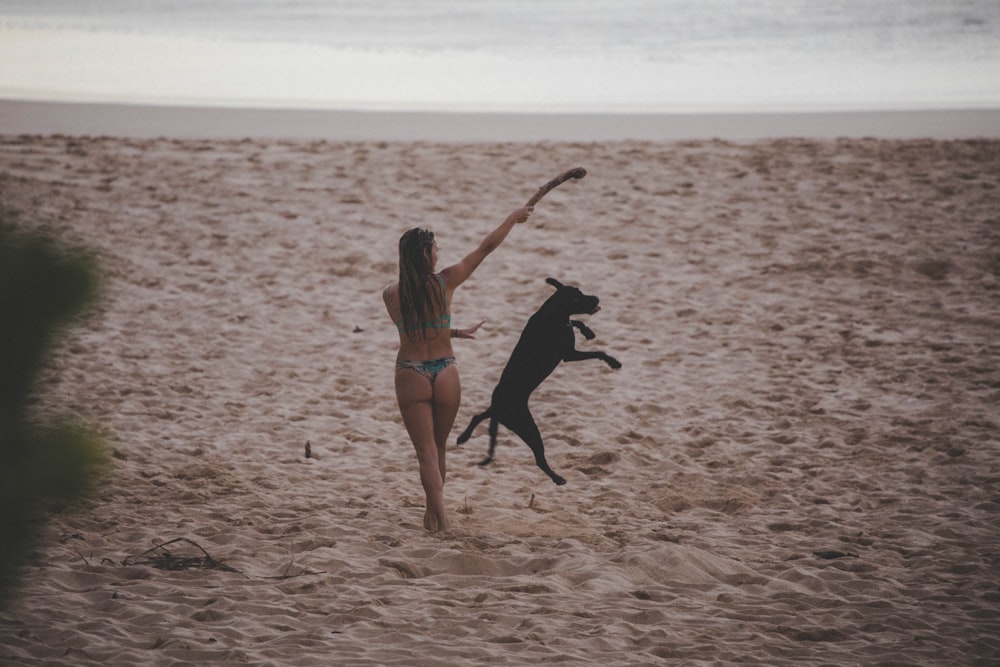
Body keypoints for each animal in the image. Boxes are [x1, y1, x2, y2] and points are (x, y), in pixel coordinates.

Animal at [458, 278, 620, 486]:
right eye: (576, 298)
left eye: (581, 292)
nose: (596, 298)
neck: (552, 314)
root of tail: (499, 406)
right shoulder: (569, 354)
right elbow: (597, 351)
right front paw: (613, 362)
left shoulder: (568, 332)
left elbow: (575, 321)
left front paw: (588, 331)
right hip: (528, 428)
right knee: (539, 459)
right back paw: (557, 478)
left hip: (501, 416)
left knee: (478, 416)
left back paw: (464, 436)